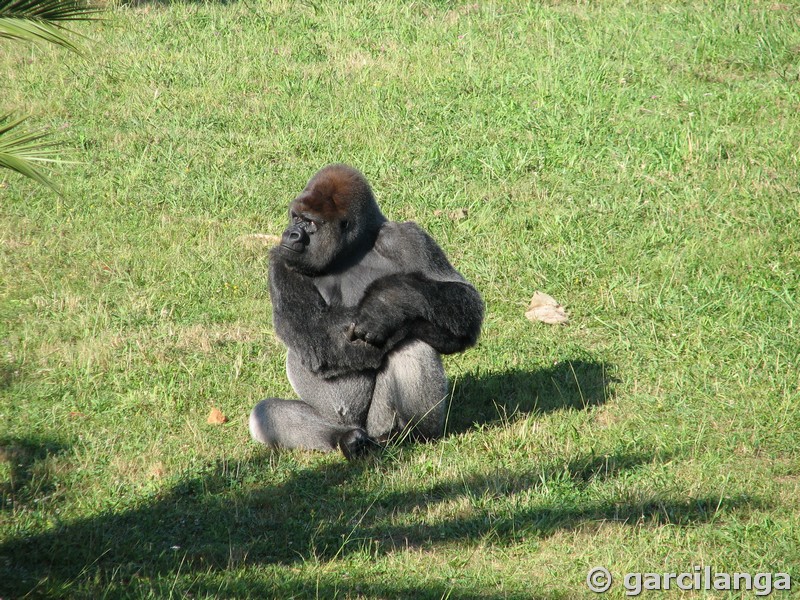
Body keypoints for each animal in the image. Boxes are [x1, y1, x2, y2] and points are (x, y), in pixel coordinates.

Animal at [247, 164, 484, 460]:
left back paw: (409, 435)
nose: (290, 233)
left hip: (378, 424)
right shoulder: (282, 258)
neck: (351, 250)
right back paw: (347, 439)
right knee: (266, 413)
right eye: (295, 217)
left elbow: (463, 301)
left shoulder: (406, 238)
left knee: (413, 345)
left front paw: (389, 303)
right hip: (337, 419)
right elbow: (314, 332)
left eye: (310, 223)